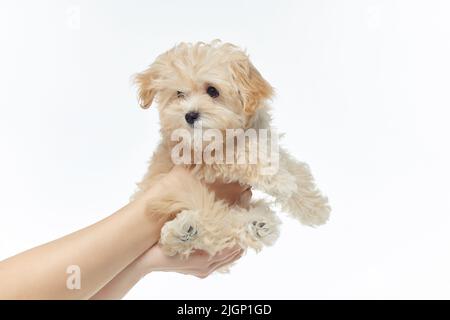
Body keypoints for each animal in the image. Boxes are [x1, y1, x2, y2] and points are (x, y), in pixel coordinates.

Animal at [132, 41, 328, 258]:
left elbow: (295, 170)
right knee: (215, 232)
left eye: (212, 91)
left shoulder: (267, 140)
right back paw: (185, 230)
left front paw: (315, 208)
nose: (189, 115)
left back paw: (257, 224)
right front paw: (279, 180)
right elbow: (239, 154)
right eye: (179, 94)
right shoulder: (199, 156)